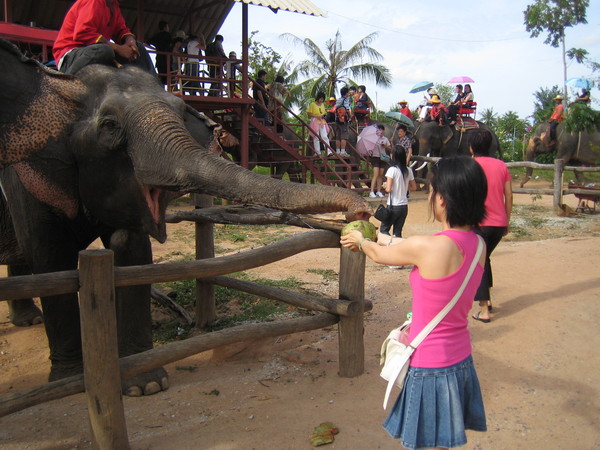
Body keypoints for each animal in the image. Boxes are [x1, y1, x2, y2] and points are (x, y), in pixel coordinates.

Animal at [0, 39, 370, 398]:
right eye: (109, 126)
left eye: (180, 111)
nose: (362, 210)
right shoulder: (27, 175)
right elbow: (49, 259)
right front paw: (70, 383)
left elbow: (133, 253)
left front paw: (145, 384)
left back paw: (28, 319)